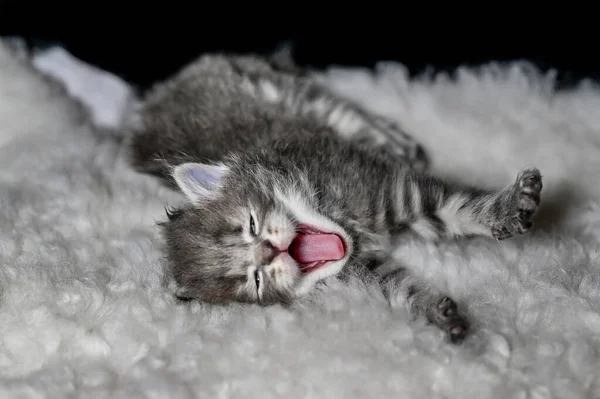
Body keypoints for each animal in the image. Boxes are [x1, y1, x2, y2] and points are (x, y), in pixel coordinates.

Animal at [125, 49, 544, 344]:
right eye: (254, 280)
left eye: (251, 224)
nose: (267, 252)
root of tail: (162, 91)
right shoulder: (370, 267)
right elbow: (404, 288)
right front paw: (440, 315)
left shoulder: (395, 188)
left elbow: (461, 207)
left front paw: (511, 207)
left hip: (298, 94)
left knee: (353, 115)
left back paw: (400, 142)